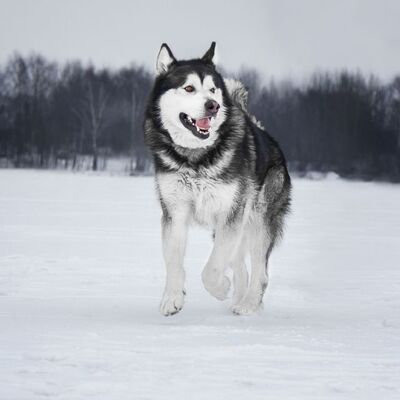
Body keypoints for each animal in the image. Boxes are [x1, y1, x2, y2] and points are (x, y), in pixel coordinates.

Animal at [144, 41, 290, 316]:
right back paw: (239, 298)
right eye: (189, 88)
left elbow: (212, 268)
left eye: (212, 89)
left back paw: (249, 304)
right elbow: (173, 261)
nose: (213, 105)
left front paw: (220, 287)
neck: (196, 159)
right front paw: (172, 298)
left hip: (258, 220)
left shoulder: (230, 213)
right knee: (241, 265)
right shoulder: (175, 212)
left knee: (260, 271)